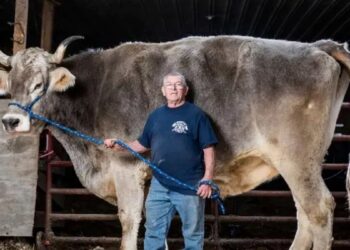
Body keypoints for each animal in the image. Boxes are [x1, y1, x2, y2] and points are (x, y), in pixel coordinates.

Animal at [0, 35, 350, 250]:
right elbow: (155, 221)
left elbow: (129, 220)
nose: (11, 121)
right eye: (11, 84)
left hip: (296, 160)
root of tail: (317, 46)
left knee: (319, 209)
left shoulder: (125, 166)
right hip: (301, 164)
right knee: (304, 214)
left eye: (39, 84)